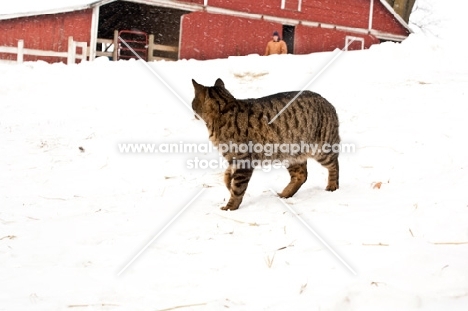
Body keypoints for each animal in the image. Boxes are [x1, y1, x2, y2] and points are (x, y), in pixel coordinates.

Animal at [190, 79, 340, 211]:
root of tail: (328, 102)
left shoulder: (243, 161)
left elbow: (238, 189)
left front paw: (230, 207)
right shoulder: (233, 159)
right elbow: (228, 175)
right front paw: (228, 183)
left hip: (322, 149)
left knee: (334, 165)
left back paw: (332, 185)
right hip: (291, 154)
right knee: (301, 175)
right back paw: (285, 194)